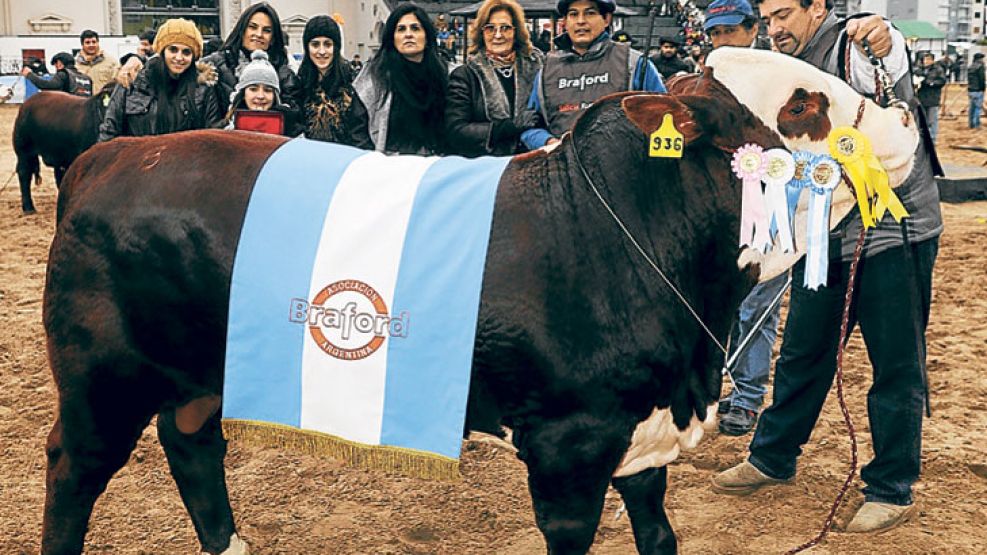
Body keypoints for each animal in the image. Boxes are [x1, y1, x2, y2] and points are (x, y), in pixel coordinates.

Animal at [38, 50, 920, 552]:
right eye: (804, 102)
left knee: (192, 445)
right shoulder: (567, 447)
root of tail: (112, 154)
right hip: (101, 380)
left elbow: (658, 534)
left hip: (197, 375)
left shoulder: (642, 435)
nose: (905, 118)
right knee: (74, 467)